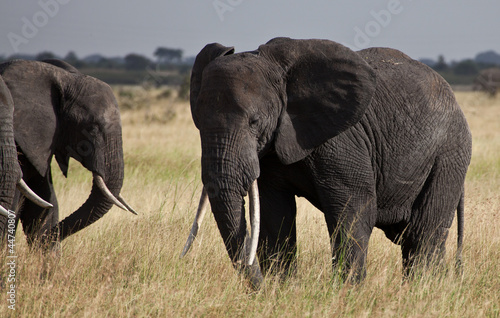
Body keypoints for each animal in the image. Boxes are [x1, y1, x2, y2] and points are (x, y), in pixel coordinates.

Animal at [184, 38, 472, 288]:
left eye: (254, 121)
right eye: (198, 122)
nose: (261, 289)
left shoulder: (342, 141)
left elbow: (352, 211)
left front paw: (347, 294)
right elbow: (274, 215)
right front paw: (282, 290)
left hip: (448, 155)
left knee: (423, 234)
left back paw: (420, 290)